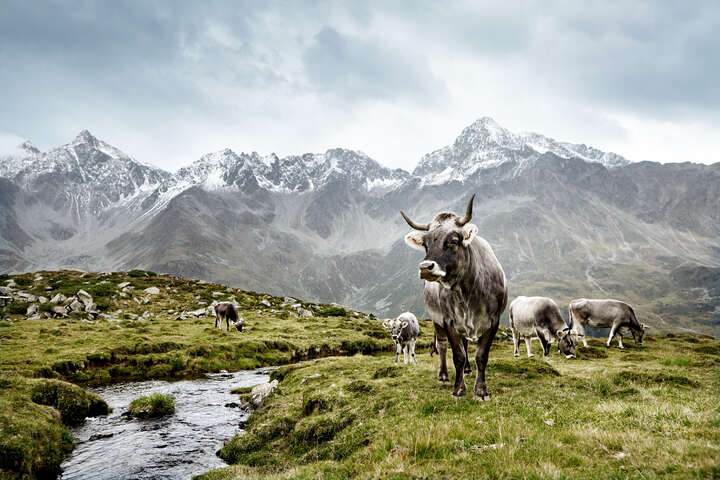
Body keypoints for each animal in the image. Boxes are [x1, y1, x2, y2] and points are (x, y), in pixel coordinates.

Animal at [402, 195, 510, 402]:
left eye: (452, 241)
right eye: (426, 244)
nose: (425, 267)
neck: (467, 293)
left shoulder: (493, 321)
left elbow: (481, 356)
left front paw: (481, 390)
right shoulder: (449, 321)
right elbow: (457, 356)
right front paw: (459, 389)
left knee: (466, 344)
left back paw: (468, 369)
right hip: (436, 320)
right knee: (443, 346)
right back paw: (443, 374)